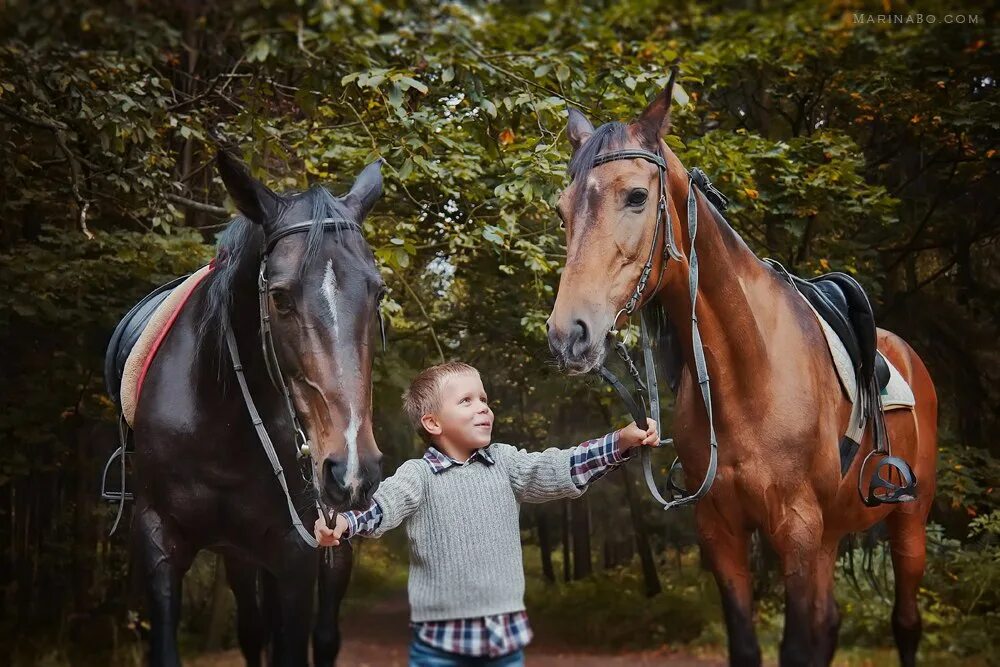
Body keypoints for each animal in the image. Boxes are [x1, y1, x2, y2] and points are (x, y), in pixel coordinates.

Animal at [120, 154, 382, 664]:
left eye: (377, 292)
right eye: (279, 296)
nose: (350, 470)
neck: (217, 423)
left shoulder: (297, 552)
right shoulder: (158, 539)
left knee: (325, 635)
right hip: (240, 556)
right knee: (254, 629)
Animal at [548, 81, 936, 664]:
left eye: (636, 197)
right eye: (563, 210)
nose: (567, 335)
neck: (747, 372)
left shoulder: (798, 531)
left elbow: (798, 646)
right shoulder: (722, 534)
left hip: (908, 520)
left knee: (905, 623)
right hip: (831, 536)